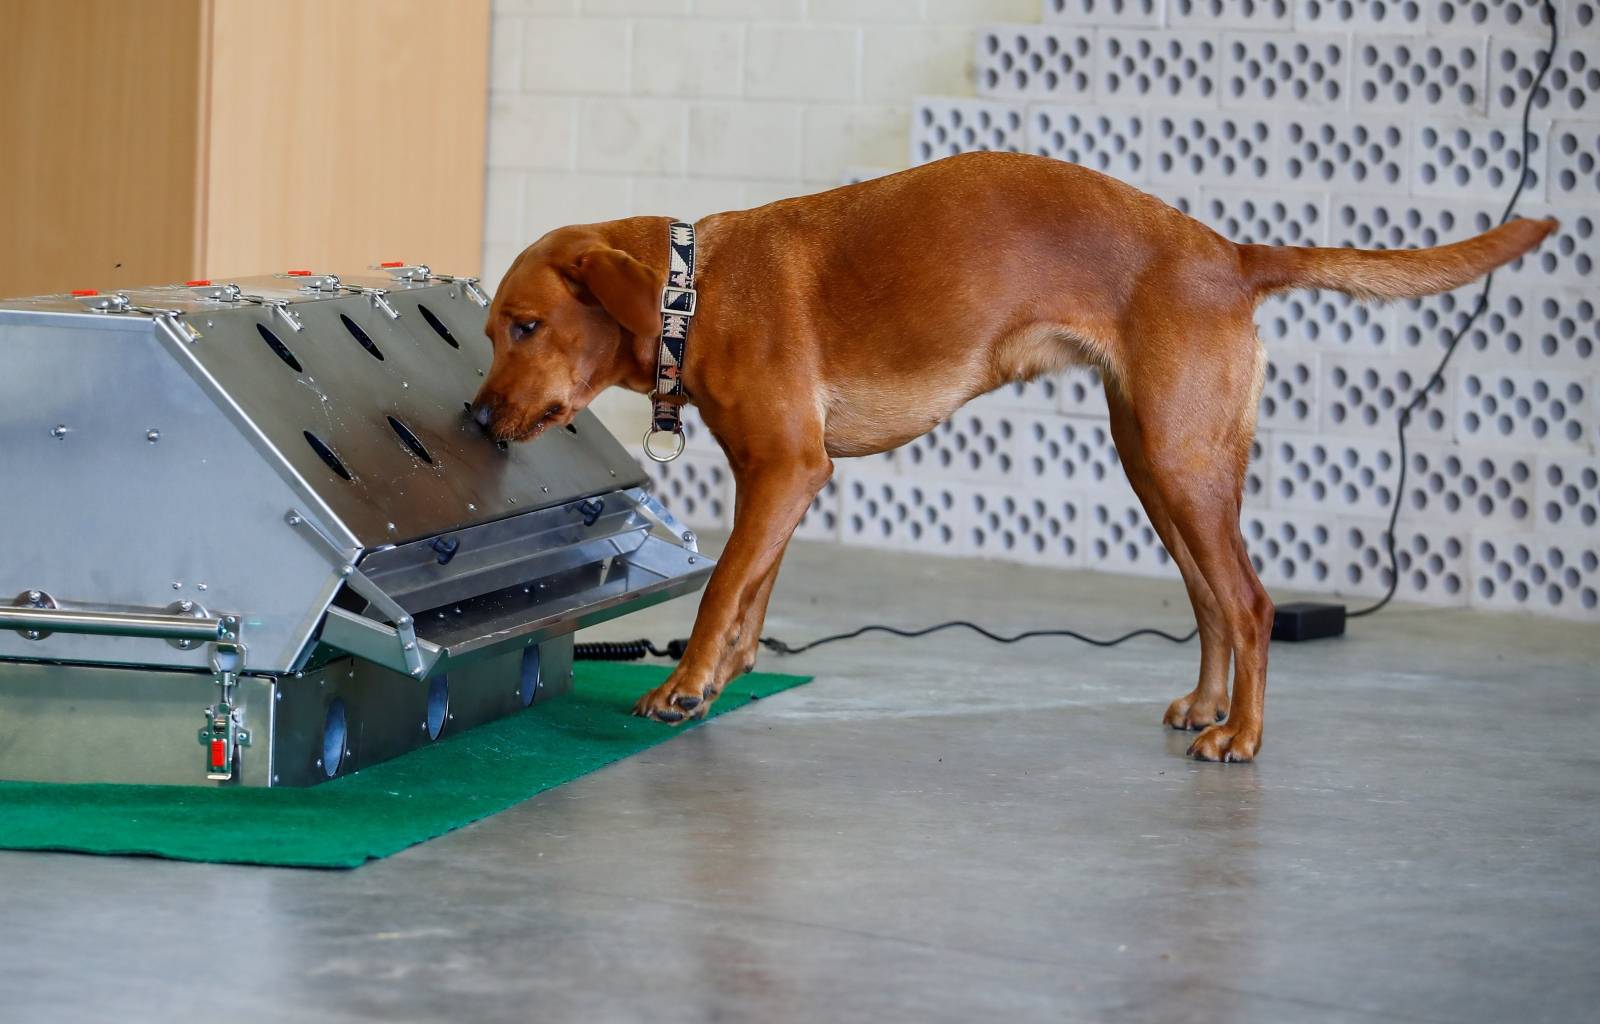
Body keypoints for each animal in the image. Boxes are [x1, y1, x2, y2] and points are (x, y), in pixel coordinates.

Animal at [470, 152, 1548, 761]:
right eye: (487, 331)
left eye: (524, 325)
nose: (476, 419)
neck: (696, 291)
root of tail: (1230, 255)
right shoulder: (781, 479)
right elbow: (750, 596)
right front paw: (719, 680)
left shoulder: (786, 471)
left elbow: (722, 588)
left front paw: (684, 682)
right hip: (1158, 465)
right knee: (1209, 599)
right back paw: (1206, 707)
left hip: (1182, 463)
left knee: (1248, 601)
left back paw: (1241, 735)